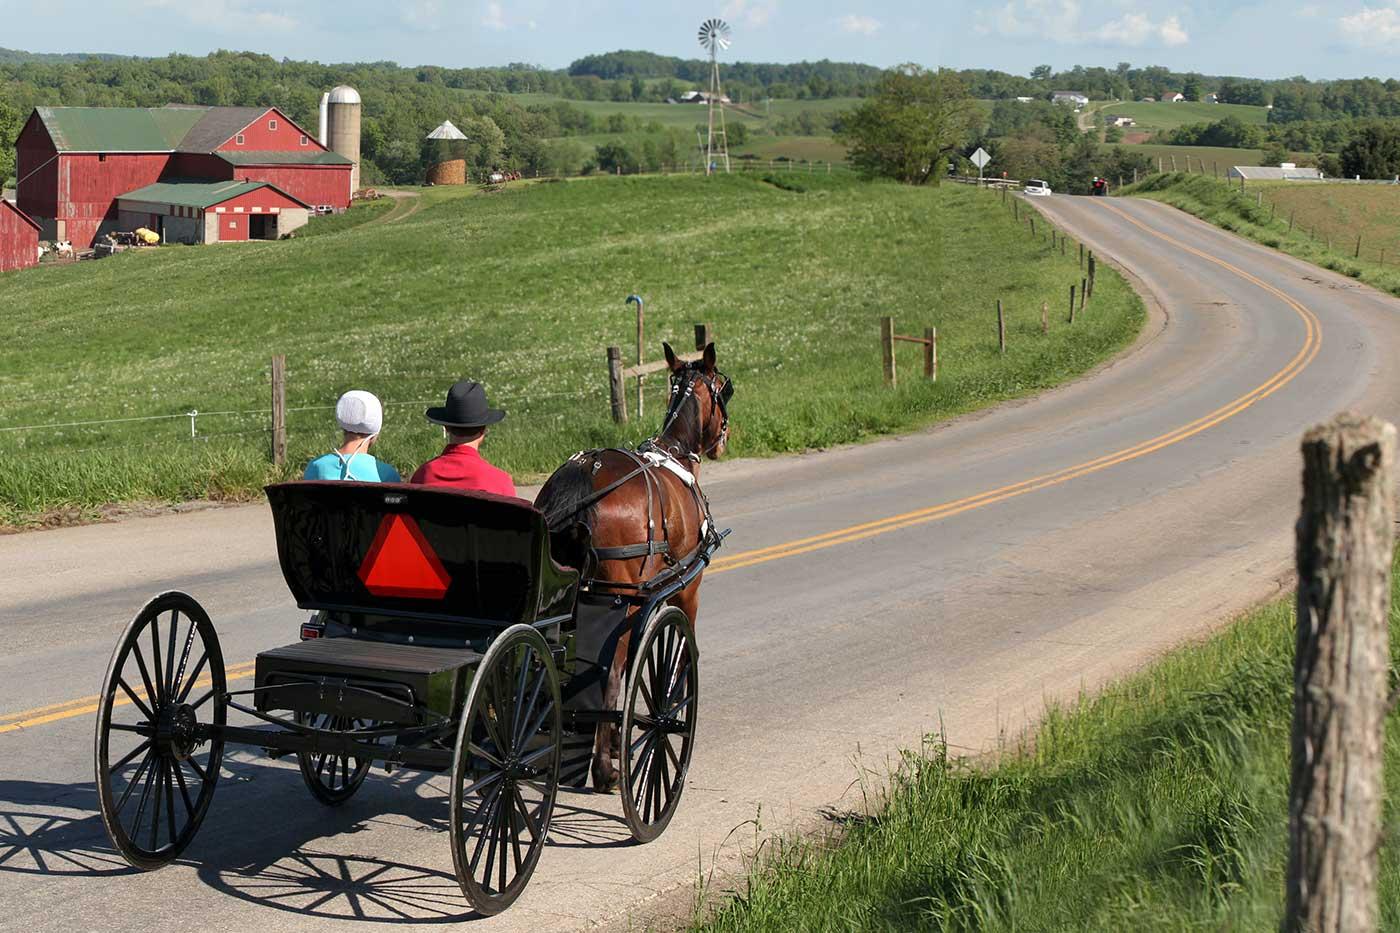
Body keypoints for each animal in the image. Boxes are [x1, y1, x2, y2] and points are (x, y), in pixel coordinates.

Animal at [534, 337, 733, 790]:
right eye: (723, 388)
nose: (723, 440)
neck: (674, 452)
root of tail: (584, 476)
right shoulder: (686, 589)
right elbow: (676, 657)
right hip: (621, 598)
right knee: (610, 672)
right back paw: (606, 770)